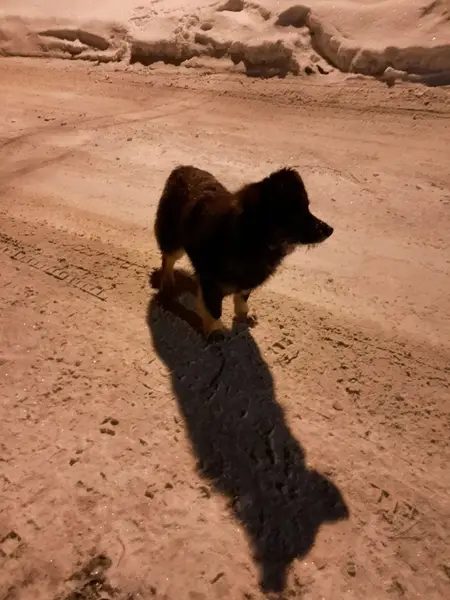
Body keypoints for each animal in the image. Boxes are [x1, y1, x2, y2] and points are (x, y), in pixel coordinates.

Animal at [154, 165, 333, 336]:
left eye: (308, 208)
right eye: (297, 212)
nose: (330, 230)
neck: (252, 239)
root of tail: (182, 168)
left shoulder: (247, 281)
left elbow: (242, 299)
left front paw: (242, 316)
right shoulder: (211, 282)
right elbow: (214, 310)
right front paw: (215, 331)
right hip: (175, 241)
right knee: (168, 258)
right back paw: (167, 281)